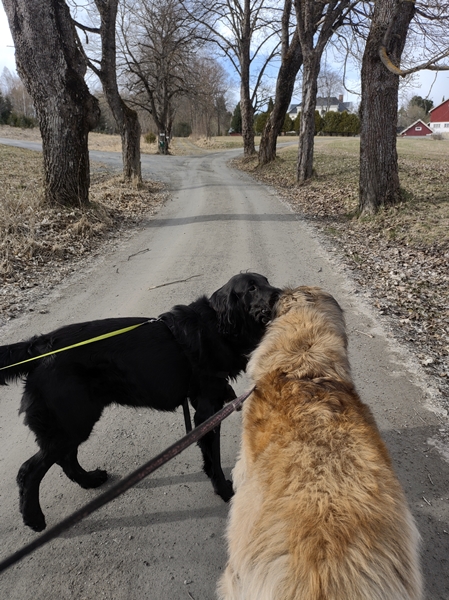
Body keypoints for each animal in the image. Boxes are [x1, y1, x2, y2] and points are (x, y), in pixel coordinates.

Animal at [0, 272, 278, 528]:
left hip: (74, 421)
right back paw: (34, 518)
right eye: (251, 288)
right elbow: (214, 457)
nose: (280, 293)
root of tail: (41, 346)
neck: (217, 326)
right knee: (29, 471)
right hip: (71, 422)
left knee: (66, 459)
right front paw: (224, 489)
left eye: (266, 281)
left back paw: (90, 480)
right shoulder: (207, 409)